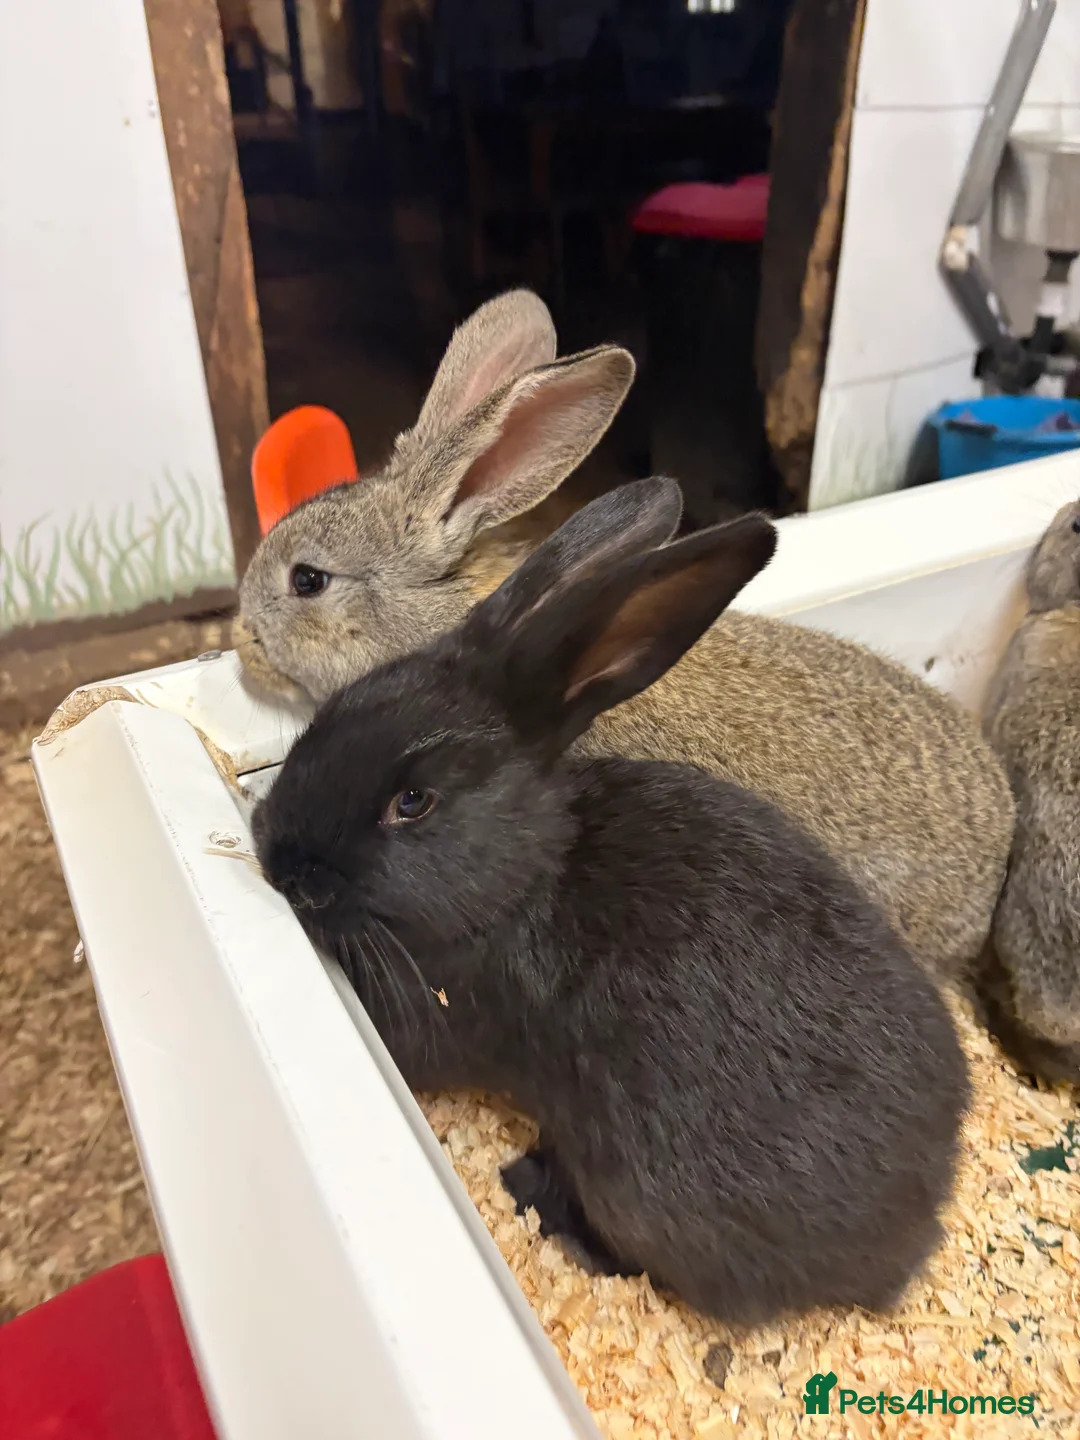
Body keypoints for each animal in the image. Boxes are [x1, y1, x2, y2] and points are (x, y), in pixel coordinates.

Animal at [252, 477, 970, 1327]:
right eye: (333, 715)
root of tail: (911, 1241)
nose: (275, 849)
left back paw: (535, 1192)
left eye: (414, 802)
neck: (526, 874)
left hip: (641, 1196)